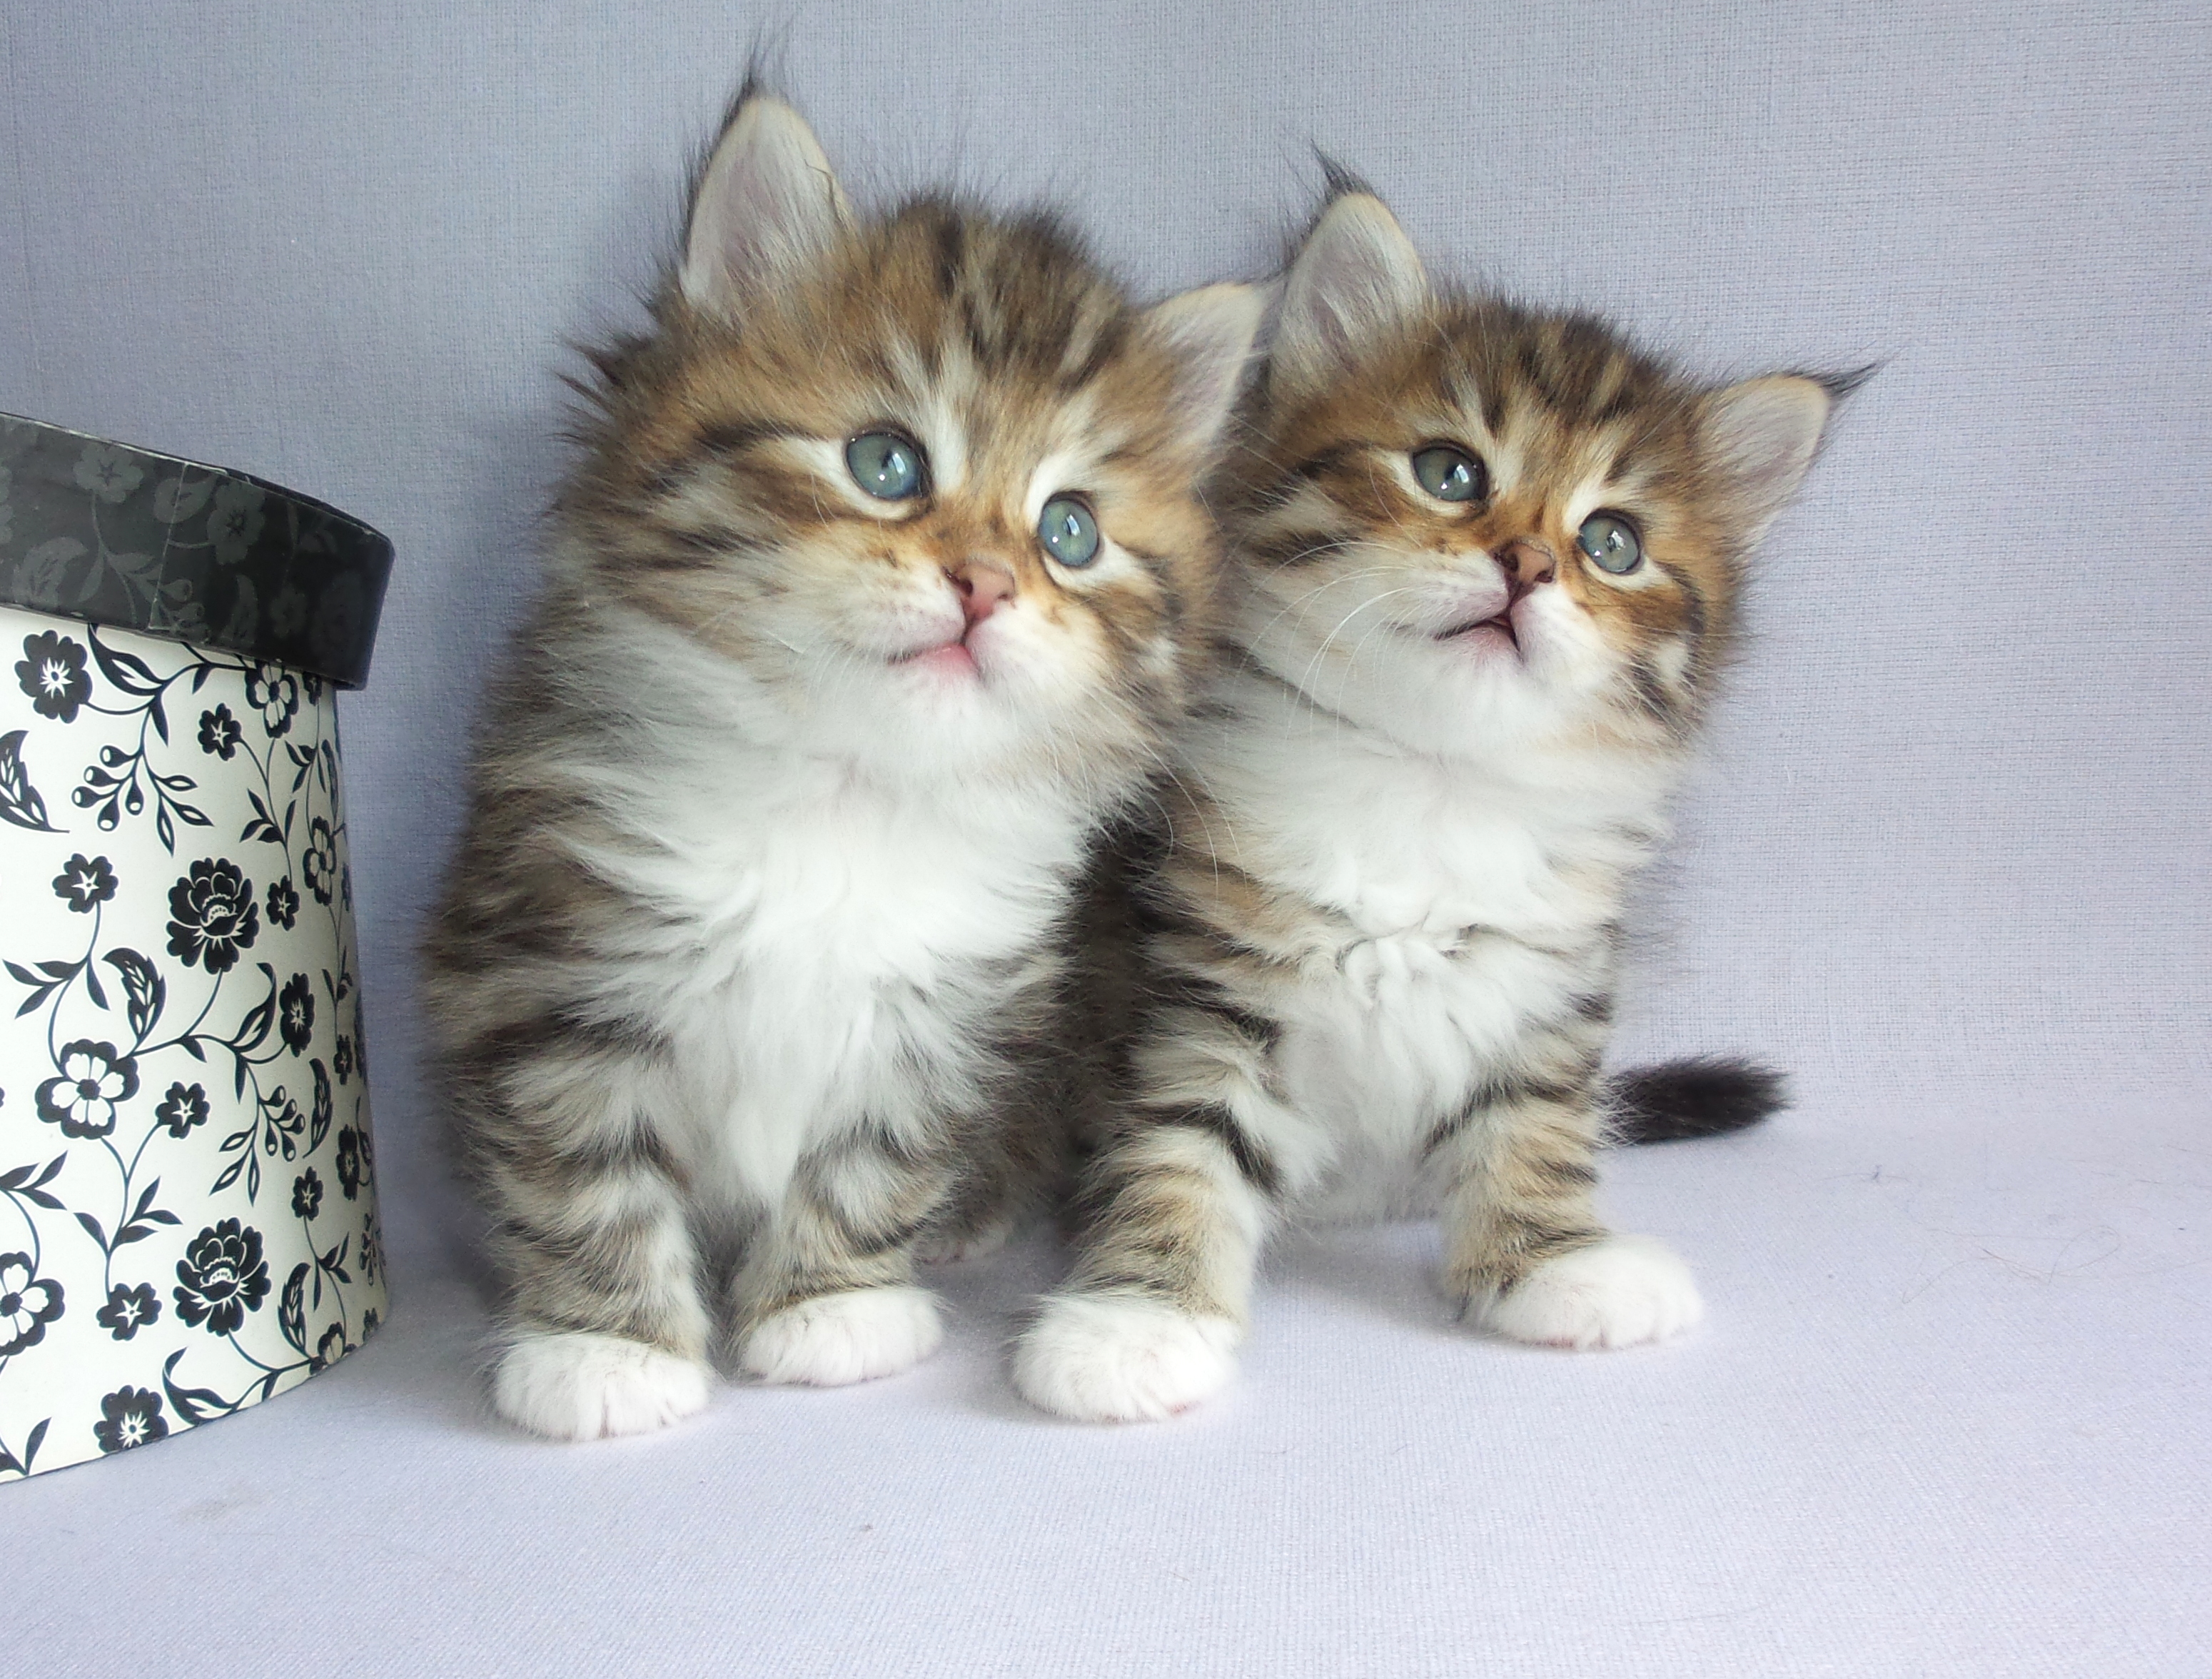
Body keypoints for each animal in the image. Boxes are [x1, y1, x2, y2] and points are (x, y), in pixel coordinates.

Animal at [421, 89, 1262, 1440]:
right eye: (885, 463)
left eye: (1069, 532)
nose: (987, 583)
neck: (846, 788)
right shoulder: (550, 966)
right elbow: (585, 1175)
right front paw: (606, 1351)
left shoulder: (946, 1014)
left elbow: (871, 1164)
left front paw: (829, 1308)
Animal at [1013, 184, 1845, 1423]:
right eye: (1448, 473)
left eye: (1611, 543)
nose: (1528, 565)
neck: (1428, 782)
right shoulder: (1198, 980)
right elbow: (1178, 1147)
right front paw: (1135, 1320)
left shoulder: (1543, 986)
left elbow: (1532, 1124)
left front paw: (1552, 1262)